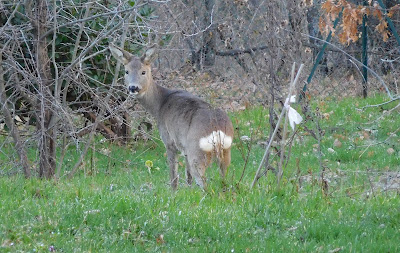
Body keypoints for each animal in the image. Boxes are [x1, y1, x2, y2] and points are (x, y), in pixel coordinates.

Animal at [109, 44, 234, 189]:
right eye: (126, 71)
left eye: (143, 72)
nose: (133, 87)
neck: (159, 105)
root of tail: (217, 130)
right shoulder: (184, 148)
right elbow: (188, 177)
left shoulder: (169, 141)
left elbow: (173, 177)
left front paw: (173, 193)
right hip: (225, 152)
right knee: (224, 181)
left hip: (196, 151)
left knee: (205, 184)